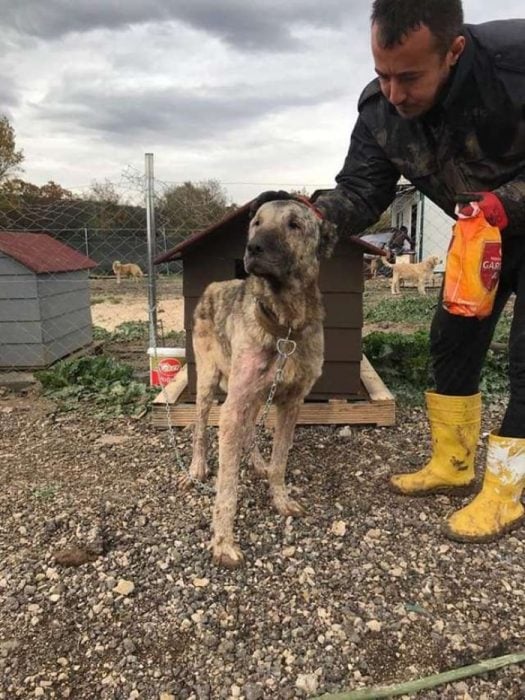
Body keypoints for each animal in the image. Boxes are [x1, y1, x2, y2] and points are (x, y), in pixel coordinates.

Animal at [184, 197, 338, 568]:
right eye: (256, 222)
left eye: (295, 224)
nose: (252, 248)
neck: (285, 327)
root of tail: (213, 285)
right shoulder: (233, 406)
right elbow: (226, 487)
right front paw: (223, 542)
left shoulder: (292, 403)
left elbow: (280, 461)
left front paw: (280, 498)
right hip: (208, 383)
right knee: (200, 428)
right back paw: (197, 467)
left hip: (254, 395)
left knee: (250, 429)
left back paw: (254, 461)